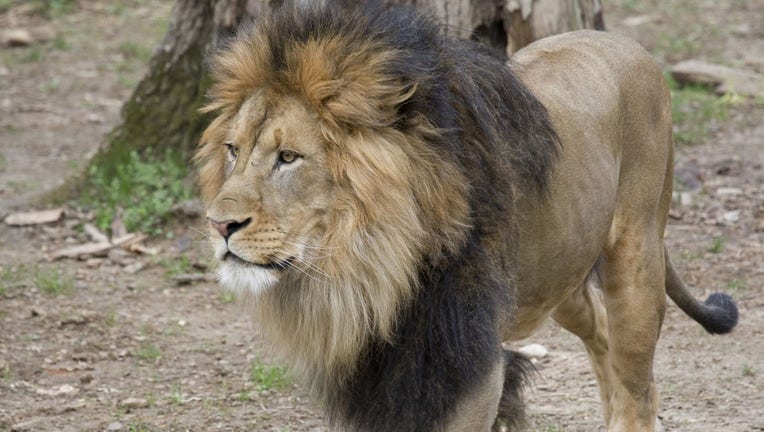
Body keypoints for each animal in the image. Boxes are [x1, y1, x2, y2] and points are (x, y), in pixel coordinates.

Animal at [194, 1, 736, 430]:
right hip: (560, 278)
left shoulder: (467, 362)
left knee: (638, 392)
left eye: (288, 157)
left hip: (636, 258)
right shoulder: (377, 371)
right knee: (602, 335)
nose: (219, 225)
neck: (366, 268)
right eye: (232, 151)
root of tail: (628, 45)